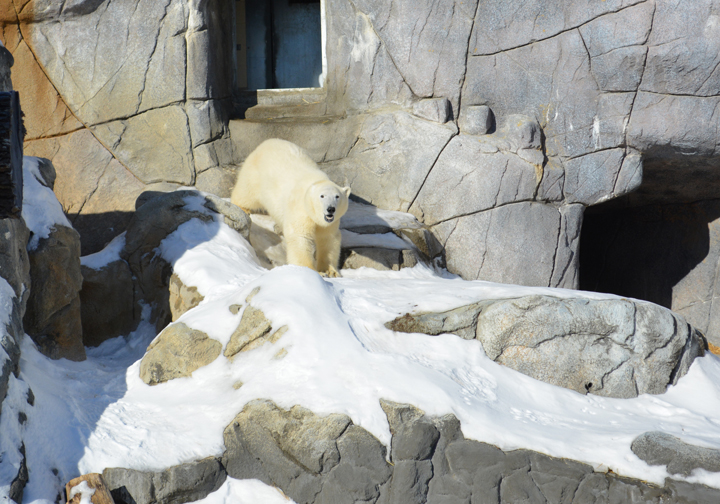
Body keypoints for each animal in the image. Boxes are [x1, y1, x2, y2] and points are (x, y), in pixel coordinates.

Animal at [231, 138, 351, 277]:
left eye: (337, 196)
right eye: (322, 196)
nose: (330, 209)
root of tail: (267, 142)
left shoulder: (330, 222)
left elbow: (328, 239)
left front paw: (329, 271)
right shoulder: (300, 209)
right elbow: (300, 237)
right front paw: (311, 270)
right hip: (256, 175)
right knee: (247, 192)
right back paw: (243, 208)